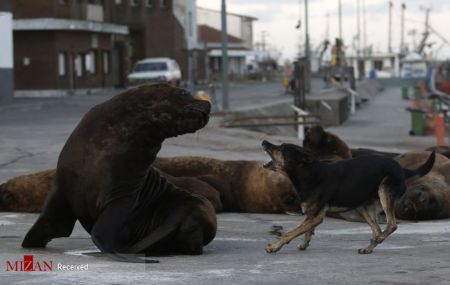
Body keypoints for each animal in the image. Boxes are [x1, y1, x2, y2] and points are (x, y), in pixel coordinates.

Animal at [262, 141, 434, 254]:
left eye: (282, 149)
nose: (264, 142)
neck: (308, 172)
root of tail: (401, 169)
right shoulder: (312, 215)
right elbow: (306, 230)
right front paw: (304, 243)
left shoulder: (316, 216)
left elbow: (291, 232)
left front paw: (274, 247)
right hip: (364, 208)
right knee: (377, 229)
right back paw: (369, 247)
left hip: (384, 193)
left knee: (391, 225)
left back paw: (378, 240)